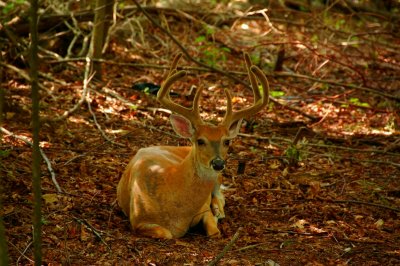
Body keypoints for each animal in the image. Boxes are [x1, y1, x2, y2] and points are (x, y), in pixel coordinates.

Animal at [117, 53, 270, 238]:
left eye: (227, 141)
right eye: (200, 141)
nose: (218, 163)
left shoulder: (203, 209)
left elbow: (214, 231)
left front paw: (216, 217)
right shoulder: (138, 220)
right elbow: (167, 234)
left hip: (218, 179)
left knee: (220, 194)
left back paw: (219, 210)